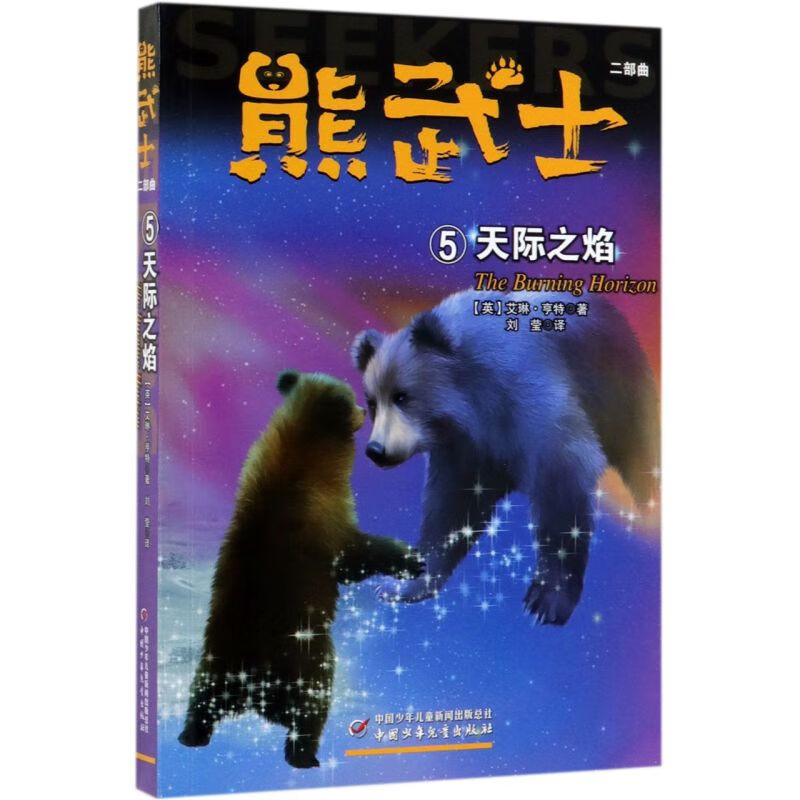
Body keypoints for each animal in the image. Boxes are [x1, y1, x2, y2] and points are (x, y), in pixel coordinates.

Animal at [178, 370, 425, 767]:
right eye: (354, 400)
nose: (363, 411)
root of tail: (254, 689)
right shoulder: (324, 518)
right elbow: (355, 555)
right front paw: (410, 557)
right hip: (308, 663)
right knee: (310, 710)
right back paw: (304, 754)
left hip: (216, 661)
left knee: (202, 699)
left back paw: (191, 735)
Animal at [352, 290, 659, 626]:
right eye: (372, 402)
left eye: (403, 396)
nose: (375, 450)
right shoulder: (467, 452)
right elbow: (450, 509)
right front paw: (403, 583)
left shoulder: (530, 406)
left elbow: (563, 485)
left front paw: (547, 599)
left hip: (619, 388)